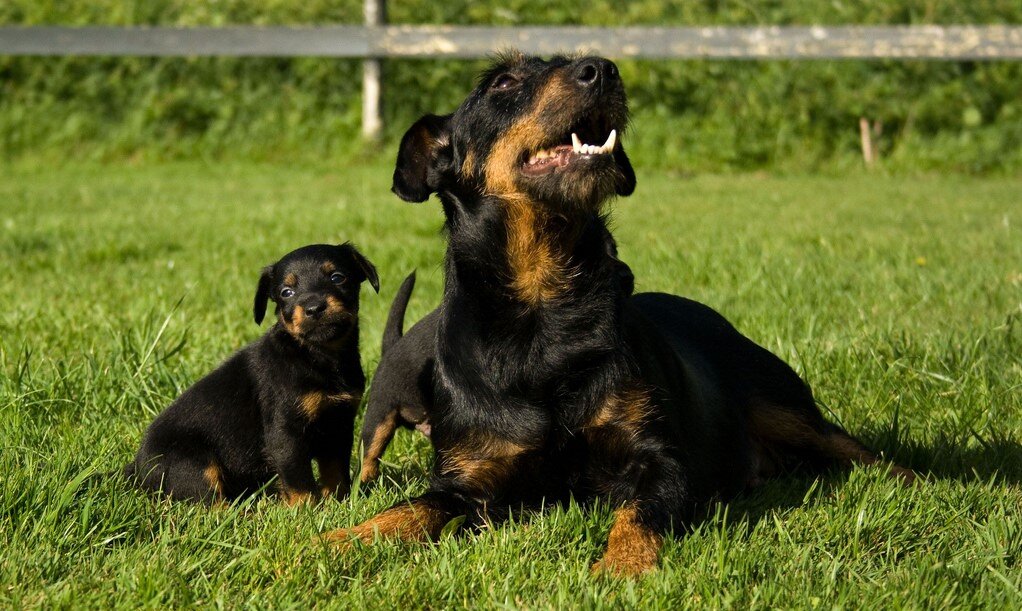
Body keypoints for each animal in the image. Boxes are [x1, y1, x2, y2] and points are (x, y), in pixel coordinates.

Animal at [124, 244, 380, 506]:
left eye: (337, 277)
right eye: (286, 292)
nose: (314, 308)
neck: (318, 355)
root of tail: (137, 469)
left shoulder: (339, 424)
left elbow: (335, 470)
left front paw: (340, 502)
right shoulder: (285, 432)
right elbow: (298, 479)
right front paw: (307, 509)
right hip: (192, 464)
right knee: (209, 502)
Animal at [322, 52, 915, 576]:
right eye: (502, 82)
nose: (603, 69)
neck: (542, 308)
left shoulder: (660, 461)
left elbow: (637, 512)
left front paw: (623, 566)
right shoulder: (469, 476)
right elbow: (410, 508)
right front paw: (340, 539)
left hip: (782, 404)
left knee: (858, 450)